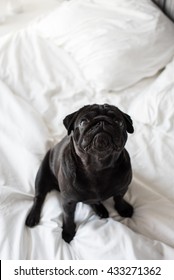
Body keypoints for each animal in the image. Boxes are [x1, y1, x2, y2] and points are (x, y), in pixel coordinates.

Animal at [25, 104, 134, 242]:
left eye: (118, 122)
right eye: (83, 122)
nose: (102, 121)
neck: (98, 166)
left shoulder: (123, 188)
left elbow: (119, 199)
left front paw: (123, 209)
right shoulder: (69, 202)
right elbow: (68, 217)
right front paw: (68, 231)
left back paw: (100, 209)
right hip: (42, 175)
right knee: (39, 197)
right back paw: (33, 216)